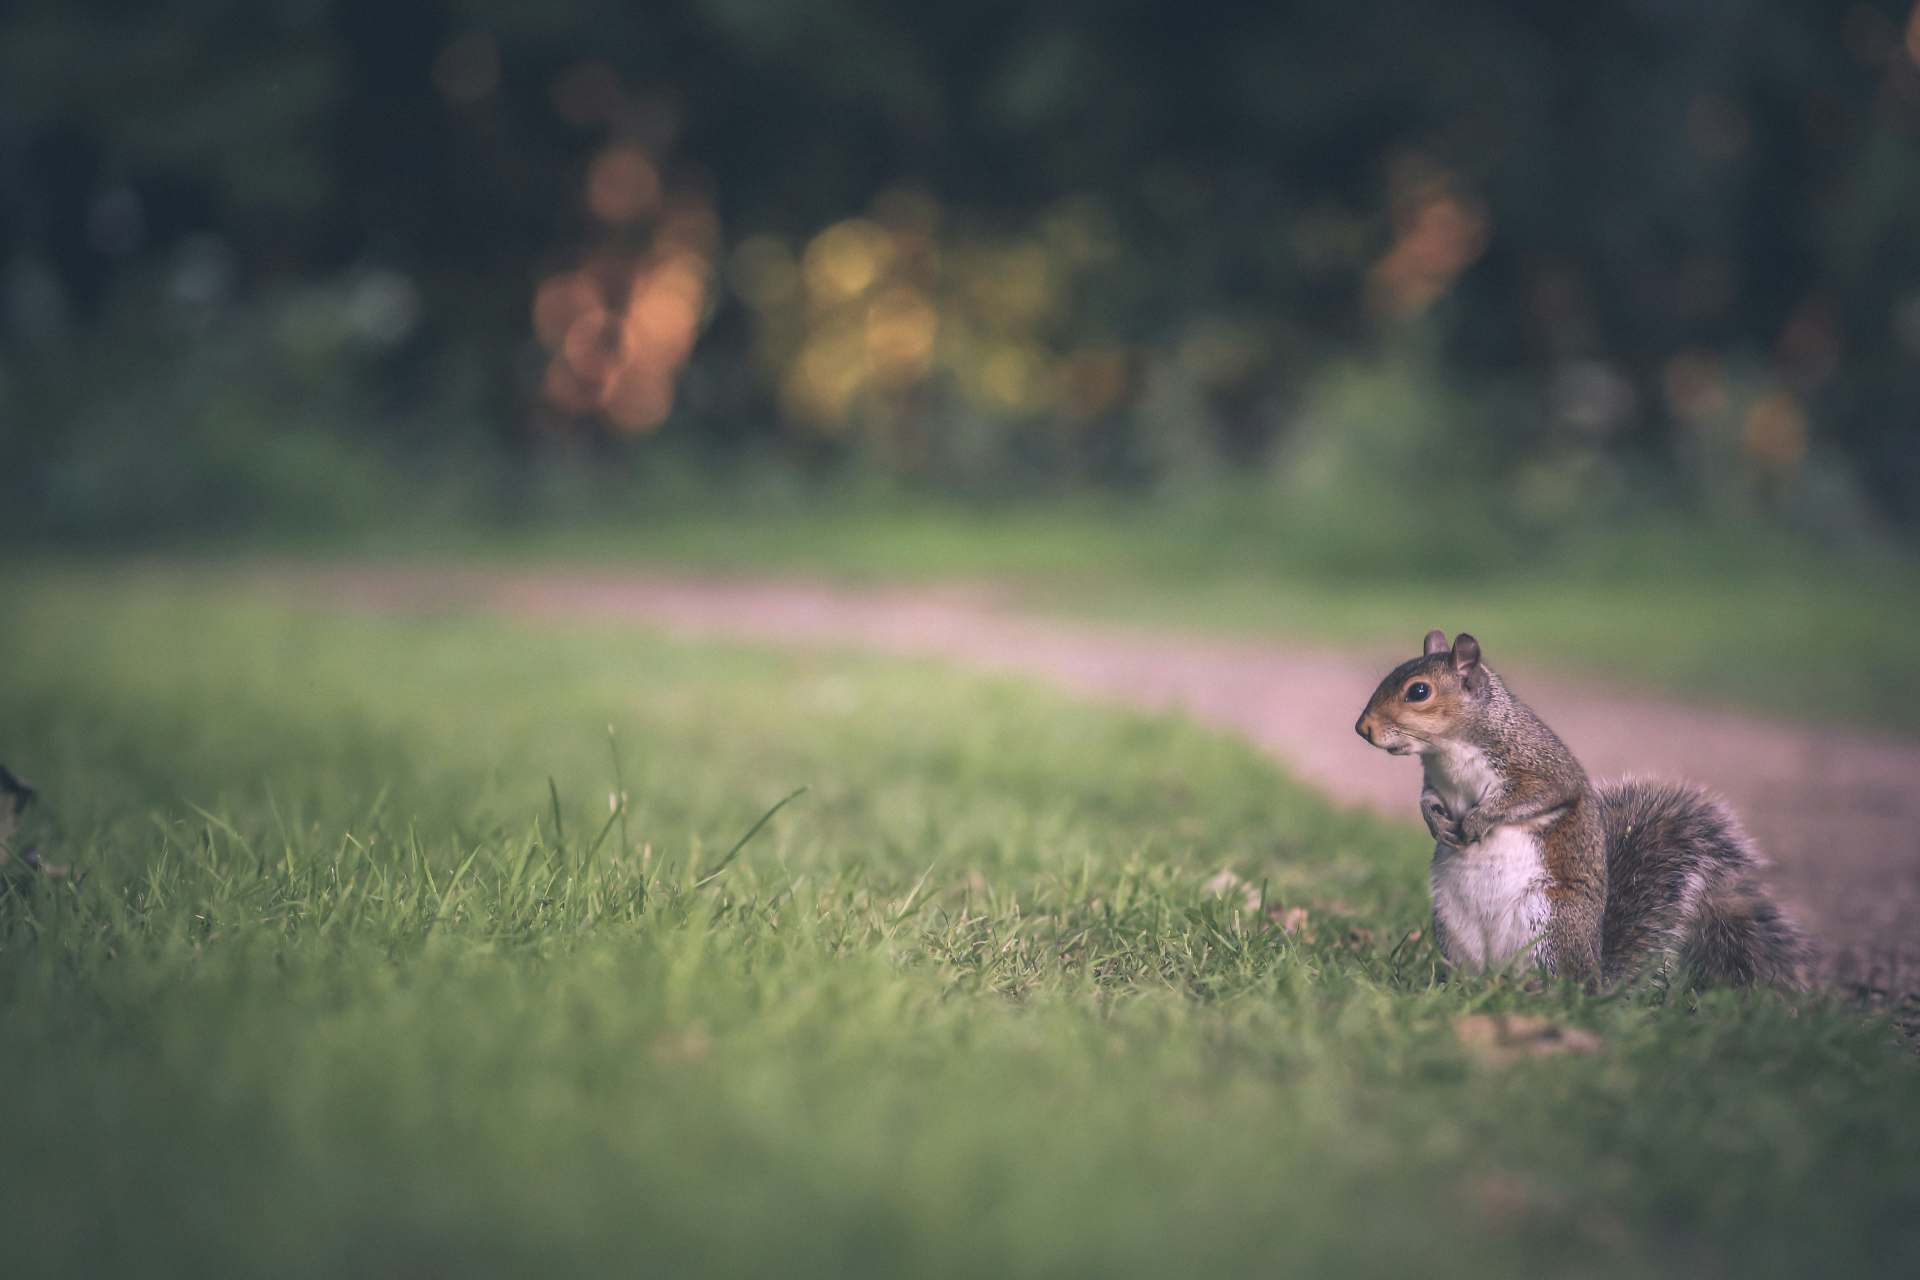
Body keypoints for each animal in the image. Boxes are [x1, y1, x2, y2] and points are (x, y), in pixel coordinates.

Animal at [1351, 629, 1812, 990]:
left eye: (1419, 691)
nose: (1363, 728)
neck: (1447, 749)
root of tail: (1594, 974)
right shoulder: (1435, 781)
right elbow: (1428, 799)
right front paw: (1434, 821)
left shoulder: (1540, 769)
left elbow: (1530, 797)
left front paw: (1480, 819)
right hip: (1452, 928)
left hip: (1549, 924)